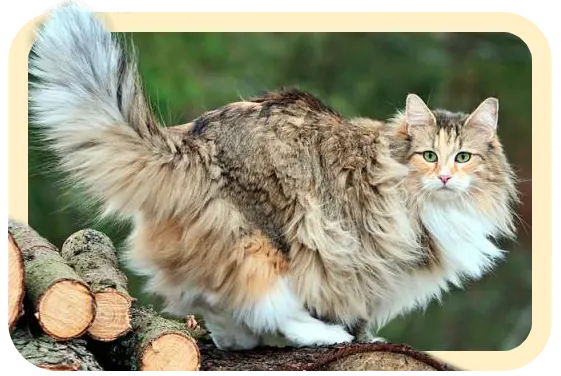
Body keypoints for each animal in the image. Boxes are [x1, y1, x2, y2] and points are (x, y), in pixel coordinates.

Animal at [26, 1, 516, 352]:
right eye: (429, 156)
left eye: (465, 157)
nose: (446, 177)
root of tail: (193, 138)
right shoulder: (371, 255)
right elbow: (359, 307)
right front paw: (360, 337)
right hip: (269, 234)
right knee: (263, 298)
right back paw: (315, 335)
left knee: (211, 296)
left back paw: (236, 339)